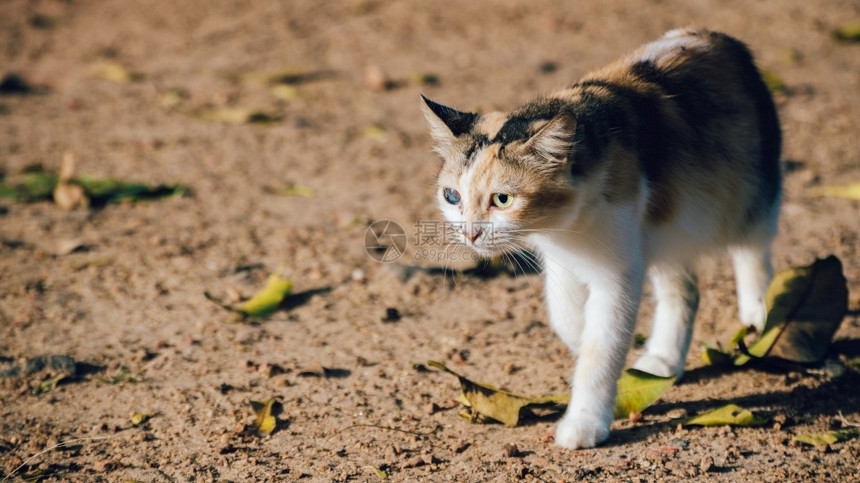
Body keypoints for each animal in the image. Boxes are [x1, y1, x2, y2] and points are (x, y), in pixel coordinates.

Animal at [420, 29, 784, 450]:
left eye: (503, 199)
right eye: (452, 197)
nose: (471, 233)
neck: (566, 224)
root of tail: (715, 35)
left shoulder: (619, 269)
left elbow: (602, 347)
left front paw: (585, 422)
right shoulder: (564, 259)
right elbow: (565, 316)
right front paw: (582, 340)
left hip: (750, 195)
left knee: (753, 250)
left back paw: (759, 312)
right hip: (665, 231)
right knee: (685, 291)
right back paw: (663, 361)